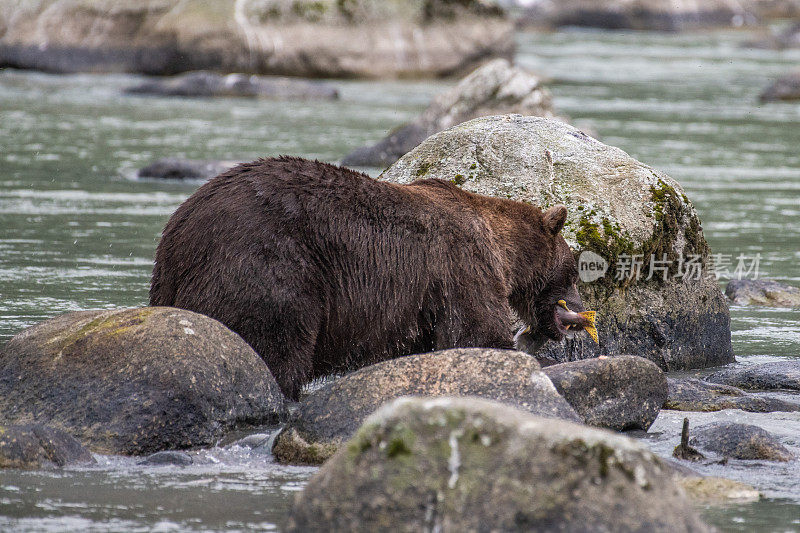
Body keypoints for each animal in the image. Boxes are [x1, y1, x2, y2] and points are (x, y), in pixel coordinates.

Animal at [148, 156, 588, 396]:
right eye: (574, 271)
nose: (580, 312)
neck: (504, 249)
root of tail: (179, 231)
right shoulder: (462, 267)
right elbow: (477, 334)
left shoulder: (417, 306)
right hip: (268, 263)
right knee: (273, 343)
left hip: (174, 279)